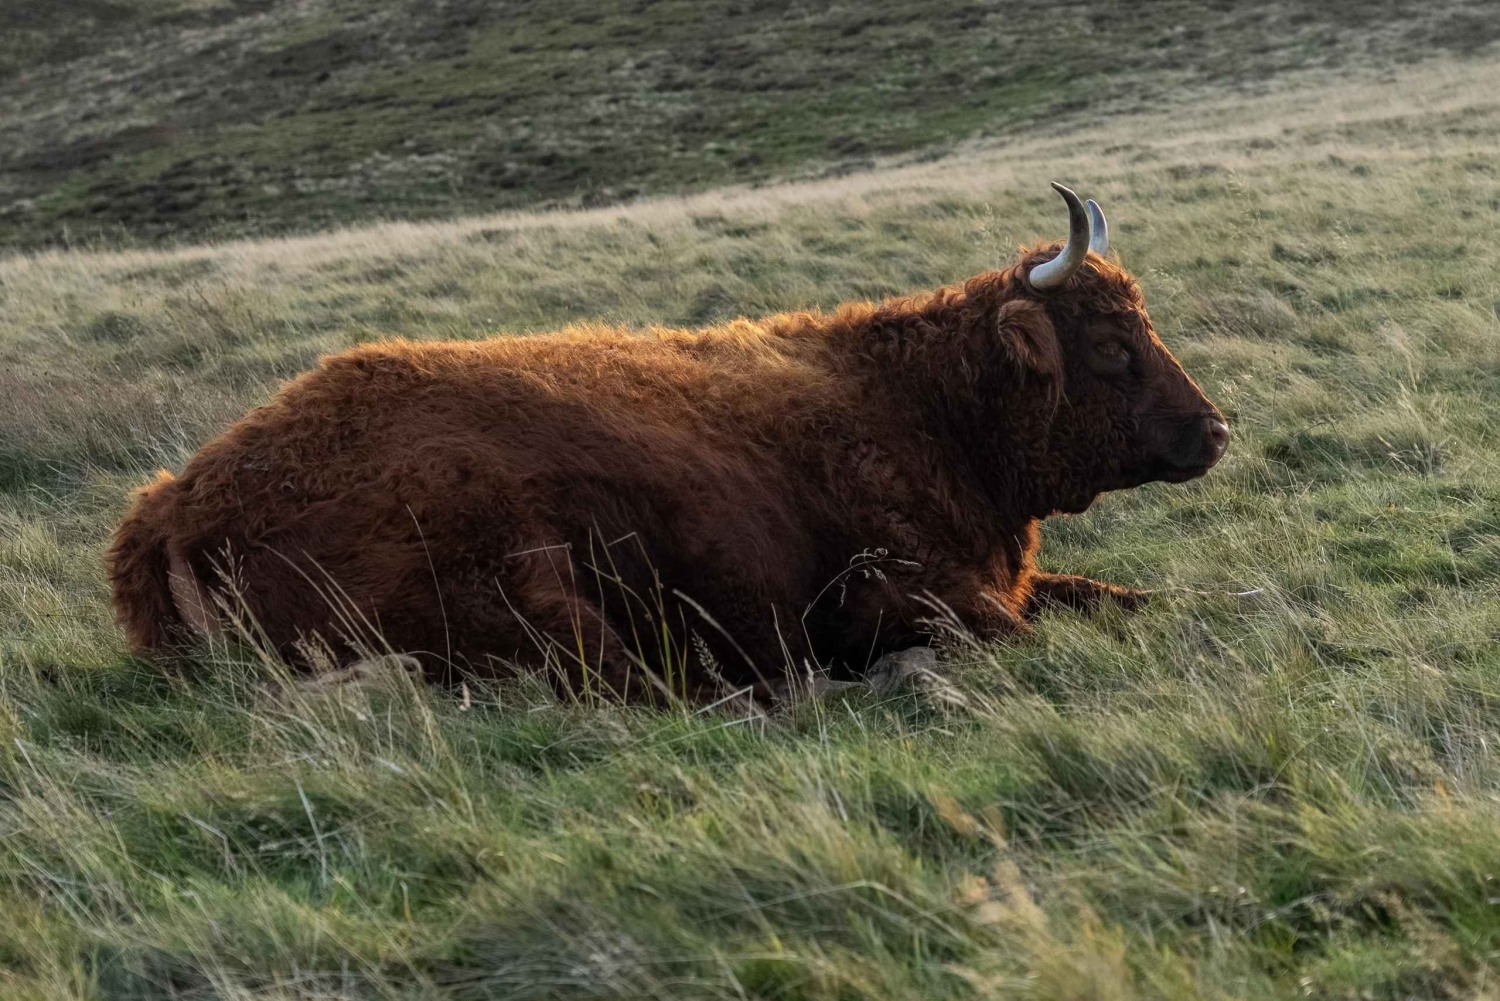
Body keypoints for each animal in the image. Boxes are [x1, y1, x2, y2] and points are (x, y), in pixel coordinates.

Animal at [108, 182, 1229, 703]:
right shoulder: (900, 593)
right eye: (1110, 344)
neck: (911, 401)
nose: (1214, 429)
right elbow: (1024, 631)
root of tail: (173, 505)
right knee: (650, 691)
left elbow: (1122, 597)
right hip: (538, 594)